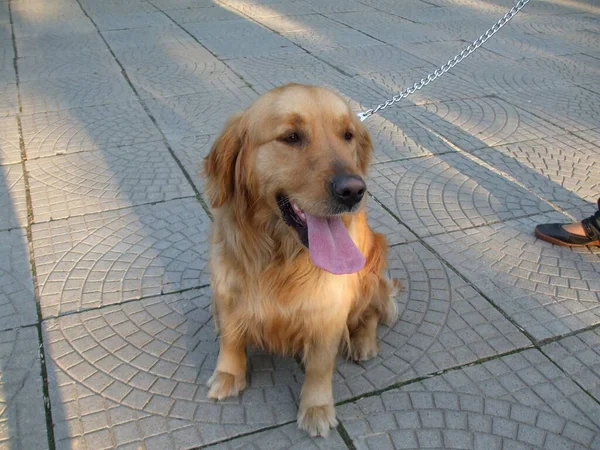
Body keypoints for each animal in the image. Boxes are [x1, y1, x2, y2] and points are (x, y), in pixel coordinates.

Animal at [205, 83, 398, 436]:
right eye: (291, 137)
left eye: (347, 135)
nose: (353, 190)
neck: (279, 256)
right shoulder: (227, 289)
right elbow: (231, 336)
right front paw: (228, 374)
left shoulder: (328, 312)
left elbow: (320, 366)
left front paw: (317, 408)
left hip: (372, 269)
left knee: (372, 312)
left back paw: (364, 342)